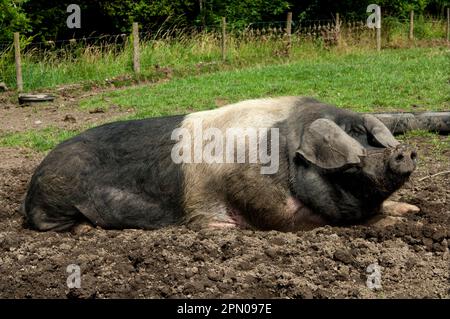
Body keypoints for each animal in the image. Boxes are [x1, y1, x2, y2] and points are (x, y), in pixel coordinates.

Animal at [22, 96, 418, 234]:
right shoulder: (269, 209)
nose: (405, 151)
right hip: (57, 198)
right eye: (350, 165)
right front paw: (396, 221)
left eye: (370, 137)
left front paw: (412, 210)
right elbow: (342, 220)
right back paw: (85, 231)